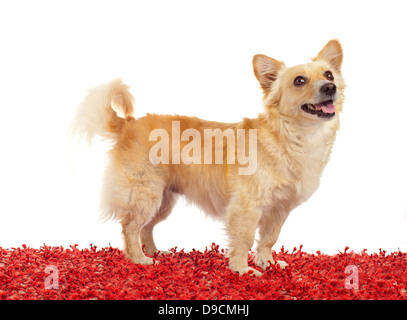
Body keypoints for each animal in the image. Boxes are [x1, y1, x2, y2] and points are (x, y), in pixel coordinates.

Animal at [71, 39, 344, 276]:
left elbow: (269, 238)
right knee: (130, 227)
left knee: (145, 227)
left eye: (329, 75)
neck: (293, 136)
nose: (330, 87)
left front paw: (268, 263)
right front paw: (243, 270)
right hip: (146, 194)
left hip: (163, 199)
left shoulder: (280, 209)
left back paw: (156, 252)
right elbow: (244, 239)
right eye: (300, 81)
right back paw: (139, 258)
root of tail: (128, 123)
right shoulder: (246, 208)